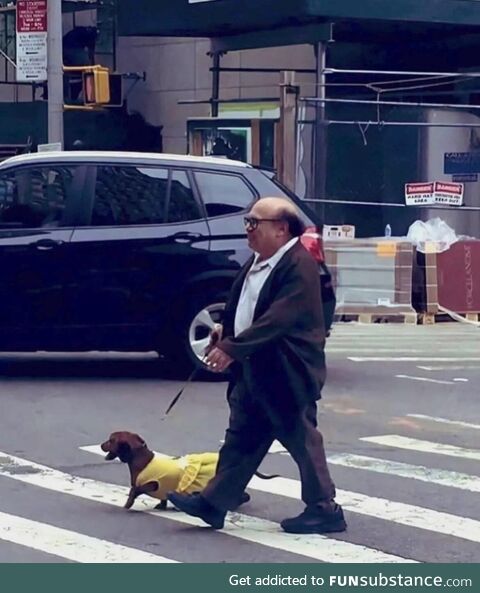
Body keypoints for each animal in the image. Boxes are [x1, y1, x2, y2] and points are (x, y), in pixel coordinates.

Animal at [102, 430, 282, 508]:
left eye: (111, 440)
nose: (102, 444)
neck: (142, 460)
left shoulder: (152, 483)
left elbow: (136, 489)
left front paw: (129, 503)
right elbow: (161, 497)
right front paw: (161, 505)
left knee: (241, 495)